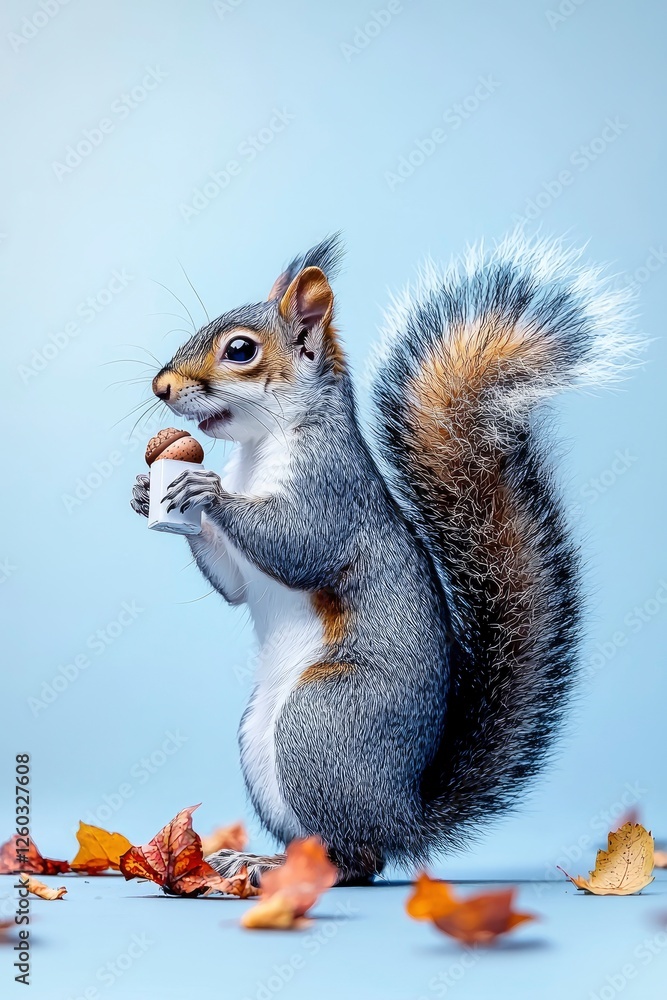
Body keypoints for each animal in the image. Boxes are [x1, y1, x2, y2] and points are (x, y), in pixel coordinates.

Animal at [131, 234, 637, 885]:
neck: (262, 445)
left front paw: (206, 490)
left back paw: (279, 868)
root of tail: (402, 817)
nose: (161, 387)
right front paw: (143, 493)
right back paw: (257, 857)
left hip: (319, 722)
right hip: (262, 739)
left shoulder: (331, 495)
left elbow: (297, 549)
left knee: (357, 861)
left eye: (240, 350)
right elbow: (236, 585)